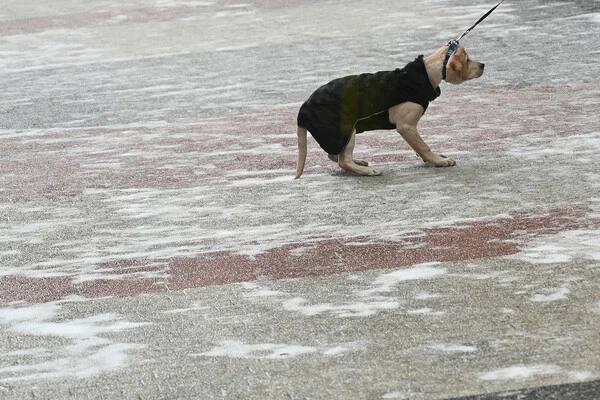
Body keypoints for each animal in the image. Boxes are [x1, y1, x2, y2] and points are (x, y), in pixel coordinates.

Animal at [296, 43, 488, 178]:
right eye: (468, 60)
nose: (483, 65)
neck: (426, 73)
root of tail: (303, 110)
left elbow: (419, 147)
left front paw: (432, 158)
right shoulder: (406, 126)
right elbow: (423, 146)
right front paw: (439, 161)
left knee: (335, 155)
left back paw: (358, 162)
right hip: (346, 130)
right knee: (343, 160)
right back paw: (367, 171)